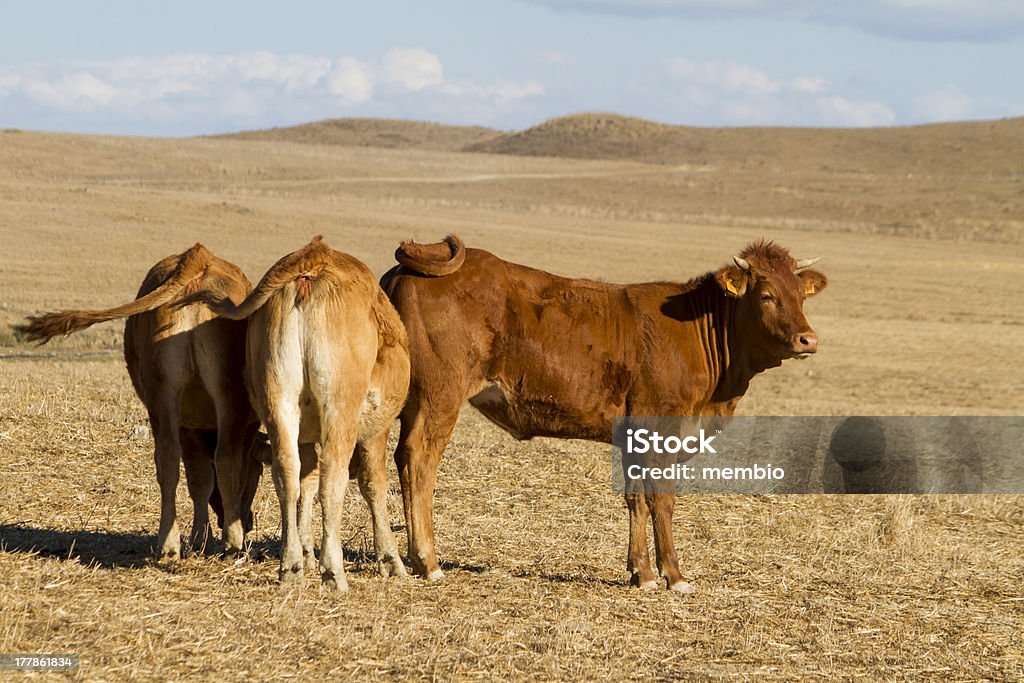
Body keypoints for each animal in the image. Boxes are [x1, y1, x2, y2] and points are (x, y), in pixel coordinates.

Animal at [17, 245, 264, 561]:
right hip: (224, 400)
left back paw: (169, 544)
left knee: (169, 461)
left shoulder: (188, 426)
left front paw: (199, 538)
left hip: (165, 400)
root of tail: (200, 259)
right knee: (224, 459)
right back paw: (232, 544)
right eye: (258, 474)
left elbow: (199, 481)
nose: (249, 520)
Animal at [195, 236, 407, 589]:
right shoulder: (376, 430)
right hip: (340, 407)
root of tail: (312, 266)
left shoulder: (305, 435)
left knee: (287, 473)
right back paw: (332, 570)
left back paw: (292, 564)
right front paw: (390, 558)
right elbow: (372, 485)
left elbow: (305, 483)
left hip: (279, 399)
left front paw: (306, 553)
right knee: (332, 478)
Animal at [380, 235, 827, 589]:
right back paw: (428, 561)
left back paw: (406, 558)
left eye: (801, 295)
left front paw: (641, 573)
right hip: (440, 397)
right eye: (766, 295)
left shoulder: (633, 436)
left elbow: (636, 499)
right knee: (420, 460)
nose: (808, 339)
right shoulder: (660, 427)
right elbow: (661, 499)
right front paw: (674, 575)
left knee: (399, 459)